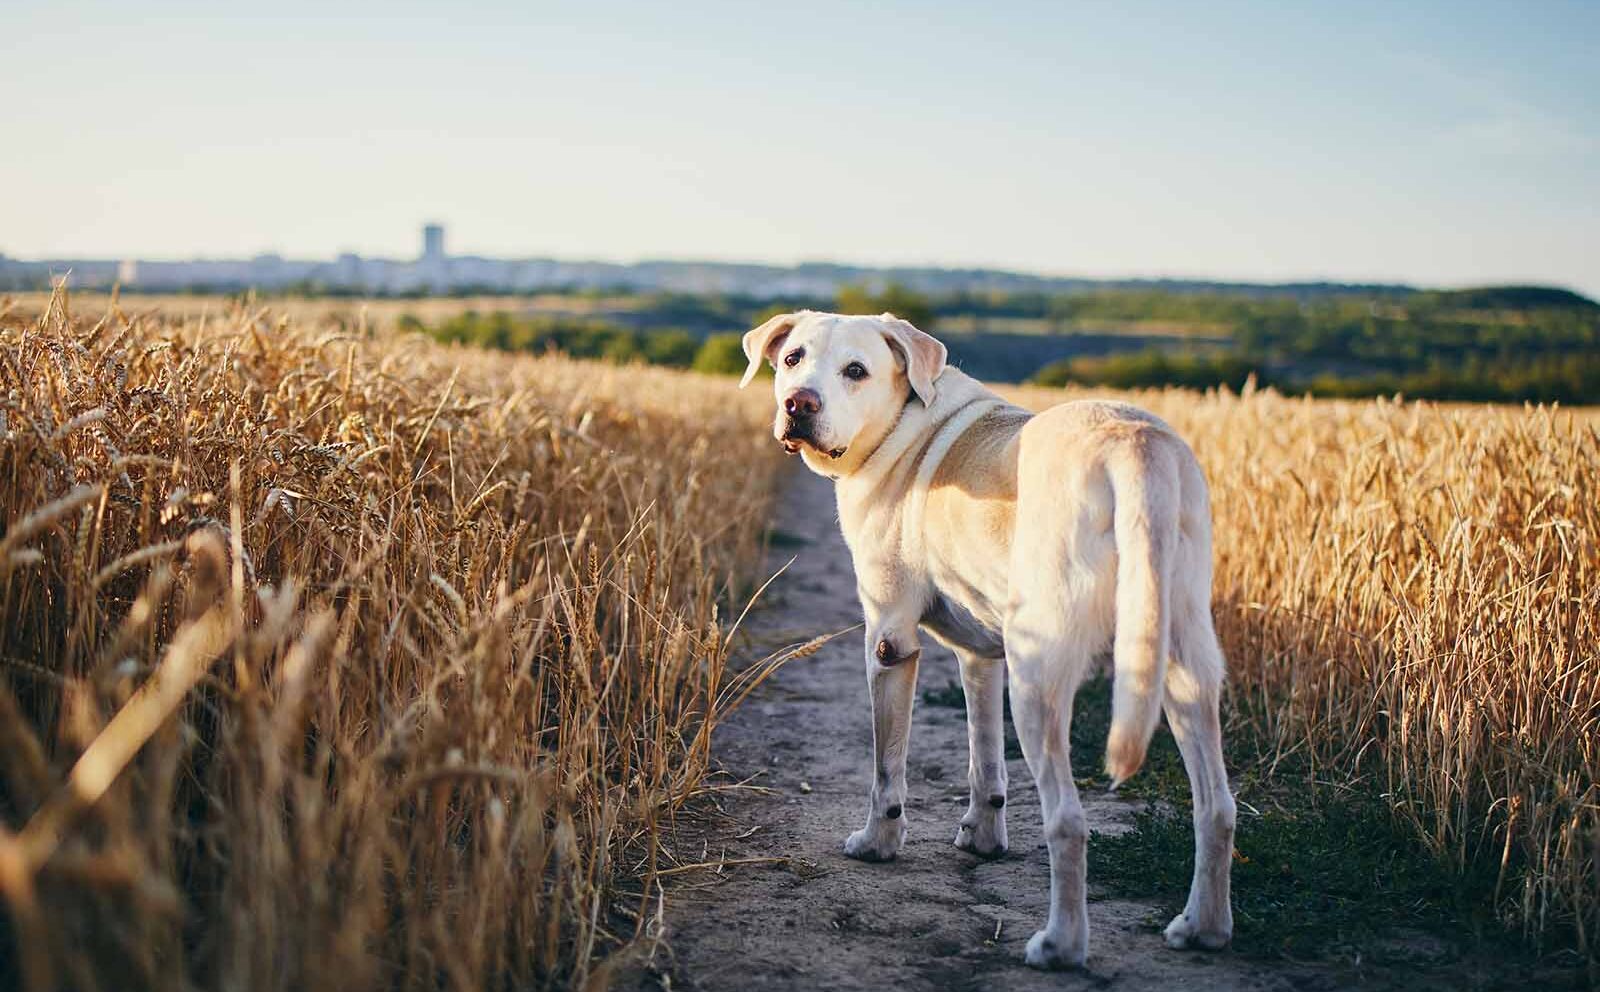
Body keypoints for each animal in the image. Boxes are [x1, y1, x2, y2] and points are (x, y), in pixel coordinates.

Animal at [739, 310, 1235, 966]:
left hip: (1036, 678)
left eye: (856, 370)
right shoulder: (980, 657)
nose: (798, 403)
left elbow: (886, 769)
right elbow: (985, 760)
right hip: (1181, 663)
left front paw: (878, 843)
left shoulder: (889, 641)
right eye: (793, 359)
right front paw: (982, 837)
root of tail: (1134, 446)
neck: (902, 423)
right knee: (1217, 807)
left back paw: (1060, 945)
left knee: (1068, 822)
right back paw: (1203, 927)